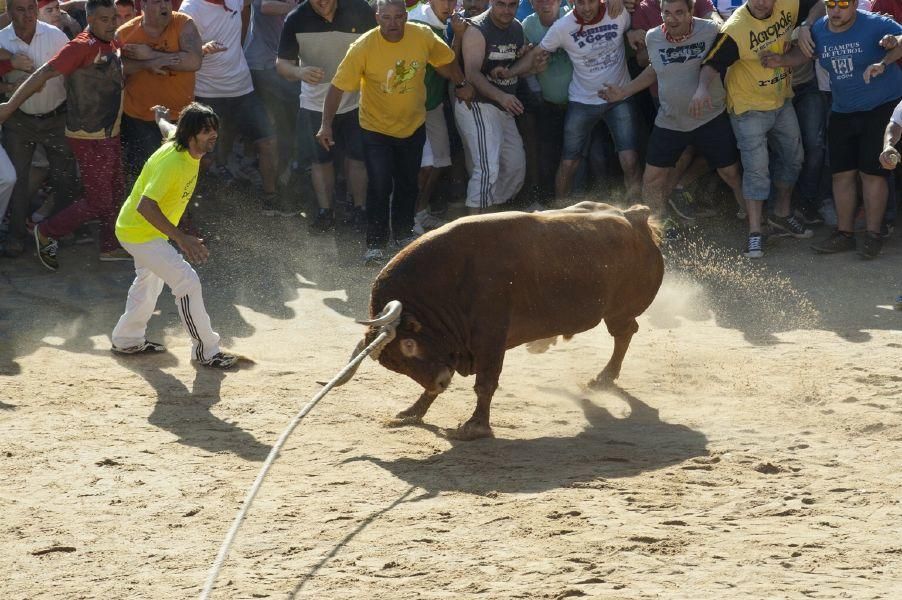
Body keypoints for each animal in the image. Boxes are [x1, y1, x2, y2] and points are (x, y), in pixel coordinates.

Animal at [340, 202, 664, 440]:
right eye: (394, 364)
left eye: (409, 344)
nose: (441, 381)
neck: (446, 281)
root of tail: (635, 218)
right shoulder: (450, 351)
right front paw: (413, 411)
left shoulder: (490, 338)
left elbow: (485, 383)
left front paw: (475, 427)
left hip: (619, 312)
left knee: (625, 333)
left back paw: (604, 377)